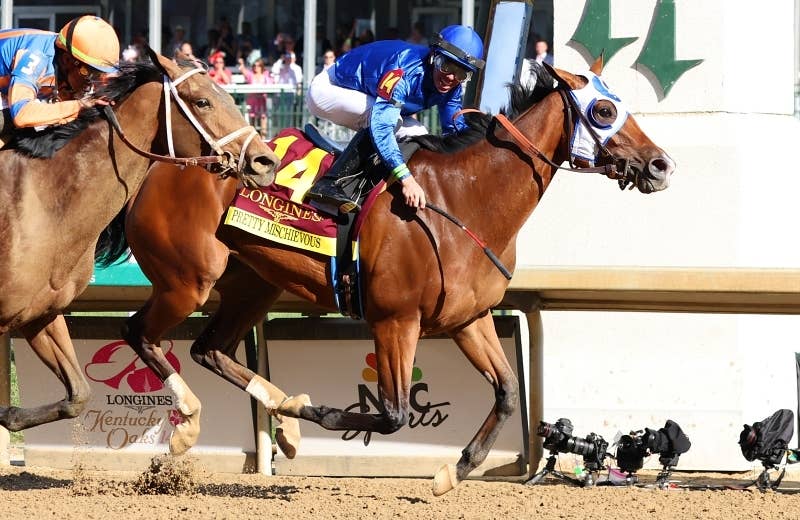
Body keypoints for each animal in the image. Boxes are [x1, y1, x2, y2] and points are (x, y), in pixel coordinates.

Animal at [0, 49, 279, 439]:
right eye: (203, 101)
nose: (265, 161)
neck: (47, 204)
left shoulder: (40, 313)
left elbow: (78, 396)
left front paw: (10, 414)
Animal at [116, 58, 675, 494]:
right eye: (604, 111)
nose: (661, 164)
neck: (462, 200)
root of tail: (162, 163)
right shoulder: (394, 321)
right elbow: (394, 413)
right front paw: (326, 417)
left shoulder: (469, 319)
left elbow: (508, 392)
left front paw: (455, 471)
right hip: (188, 281)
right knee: (139, 332)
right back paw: (190, 426)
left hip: (253, 284)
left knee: (208, 349)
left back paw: (285, 415)